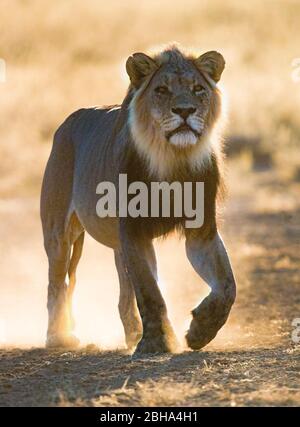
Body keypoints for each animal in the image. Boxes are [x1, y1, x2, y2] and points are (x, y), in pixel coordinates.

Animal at [40, 44, 237, 354]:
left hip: (117, 246)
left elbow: (227, 285)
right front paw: (157, 342)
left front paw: (200, 331)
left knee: (123, 292)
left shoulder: (201, 231)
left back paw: (132, 334)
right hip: (59, 231)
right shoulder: (134, 230)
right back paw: (59, 337)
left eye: (197, 89)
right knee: (56, 282)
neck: (173, 158)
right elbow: (149, 290)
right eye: (162, 90)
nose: (184, 110)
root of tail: (68, 122)